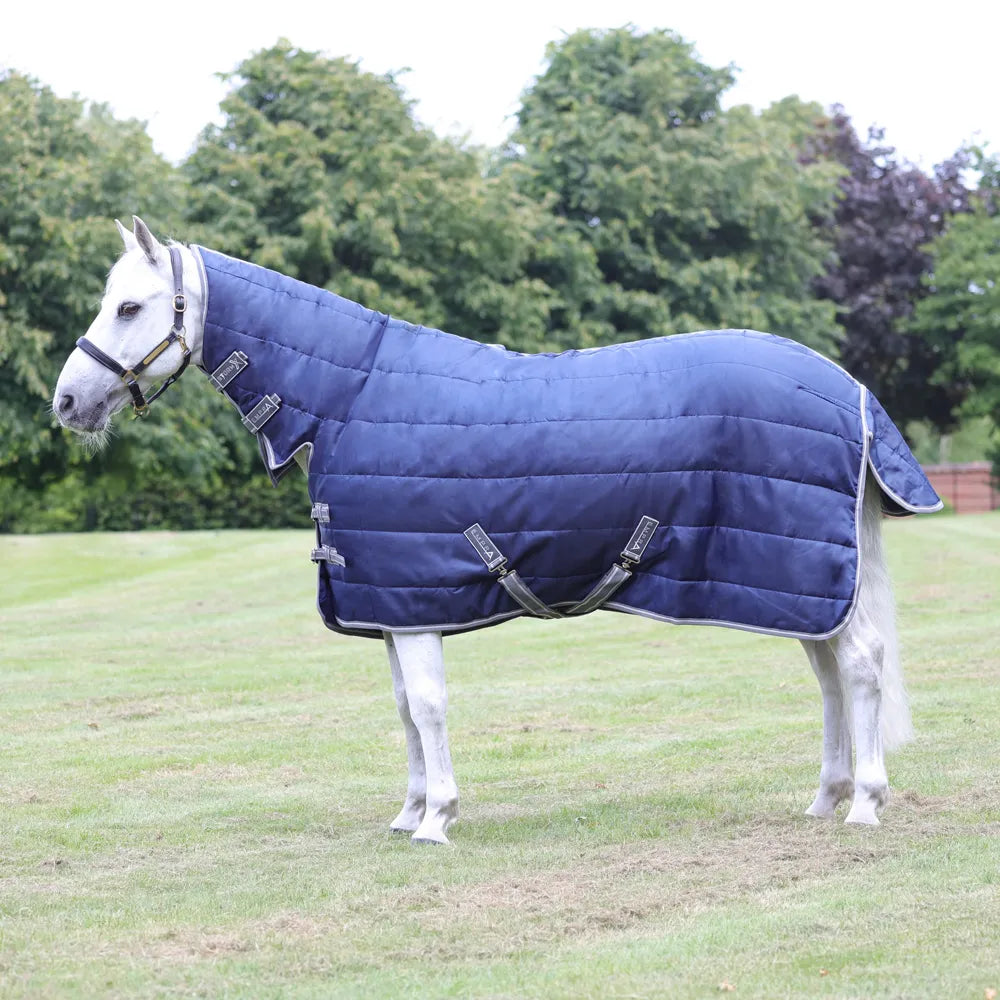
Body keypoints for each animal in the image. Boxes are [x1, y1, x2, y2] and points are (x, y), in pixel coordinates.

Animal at [53, 217, 942, 844]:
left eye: (129, 306)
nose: (66, 402)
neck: (348, 399)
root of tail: (849, 390)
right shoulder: (389, 606)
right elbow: (403, 710)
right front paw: (409, 810)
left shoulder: (414, 606)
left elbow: (428, 707)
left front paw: (438, 818)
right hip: (793, 582)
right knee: (828, 675)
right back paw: (825, 798)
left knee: (859, 665)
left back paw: (865, 803)